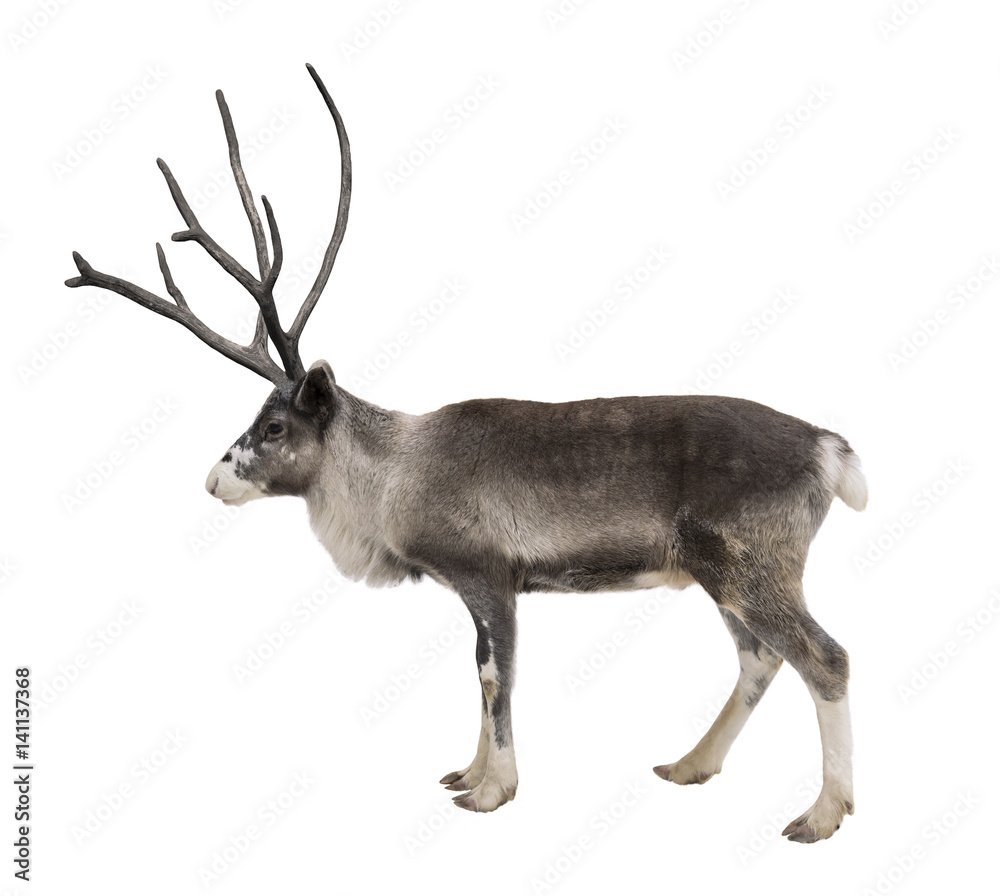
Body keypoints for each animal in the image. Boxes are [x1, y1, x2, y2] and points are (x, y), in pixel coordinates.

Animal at [65, 64, 866, 843]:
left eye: (274, 428)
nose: (212, 479)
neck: (393, 474)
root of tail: (828, 448)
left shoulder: (488, 574)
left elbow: (495, 678)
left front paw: (492, 792)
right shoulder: (479, 588)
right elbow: (478, 676)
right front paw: (466, 773)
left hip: (750, 564)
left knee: (824, 656)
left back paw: (822, 814)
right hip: (716, 571)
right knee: (760, 657)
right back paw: (691, 764)